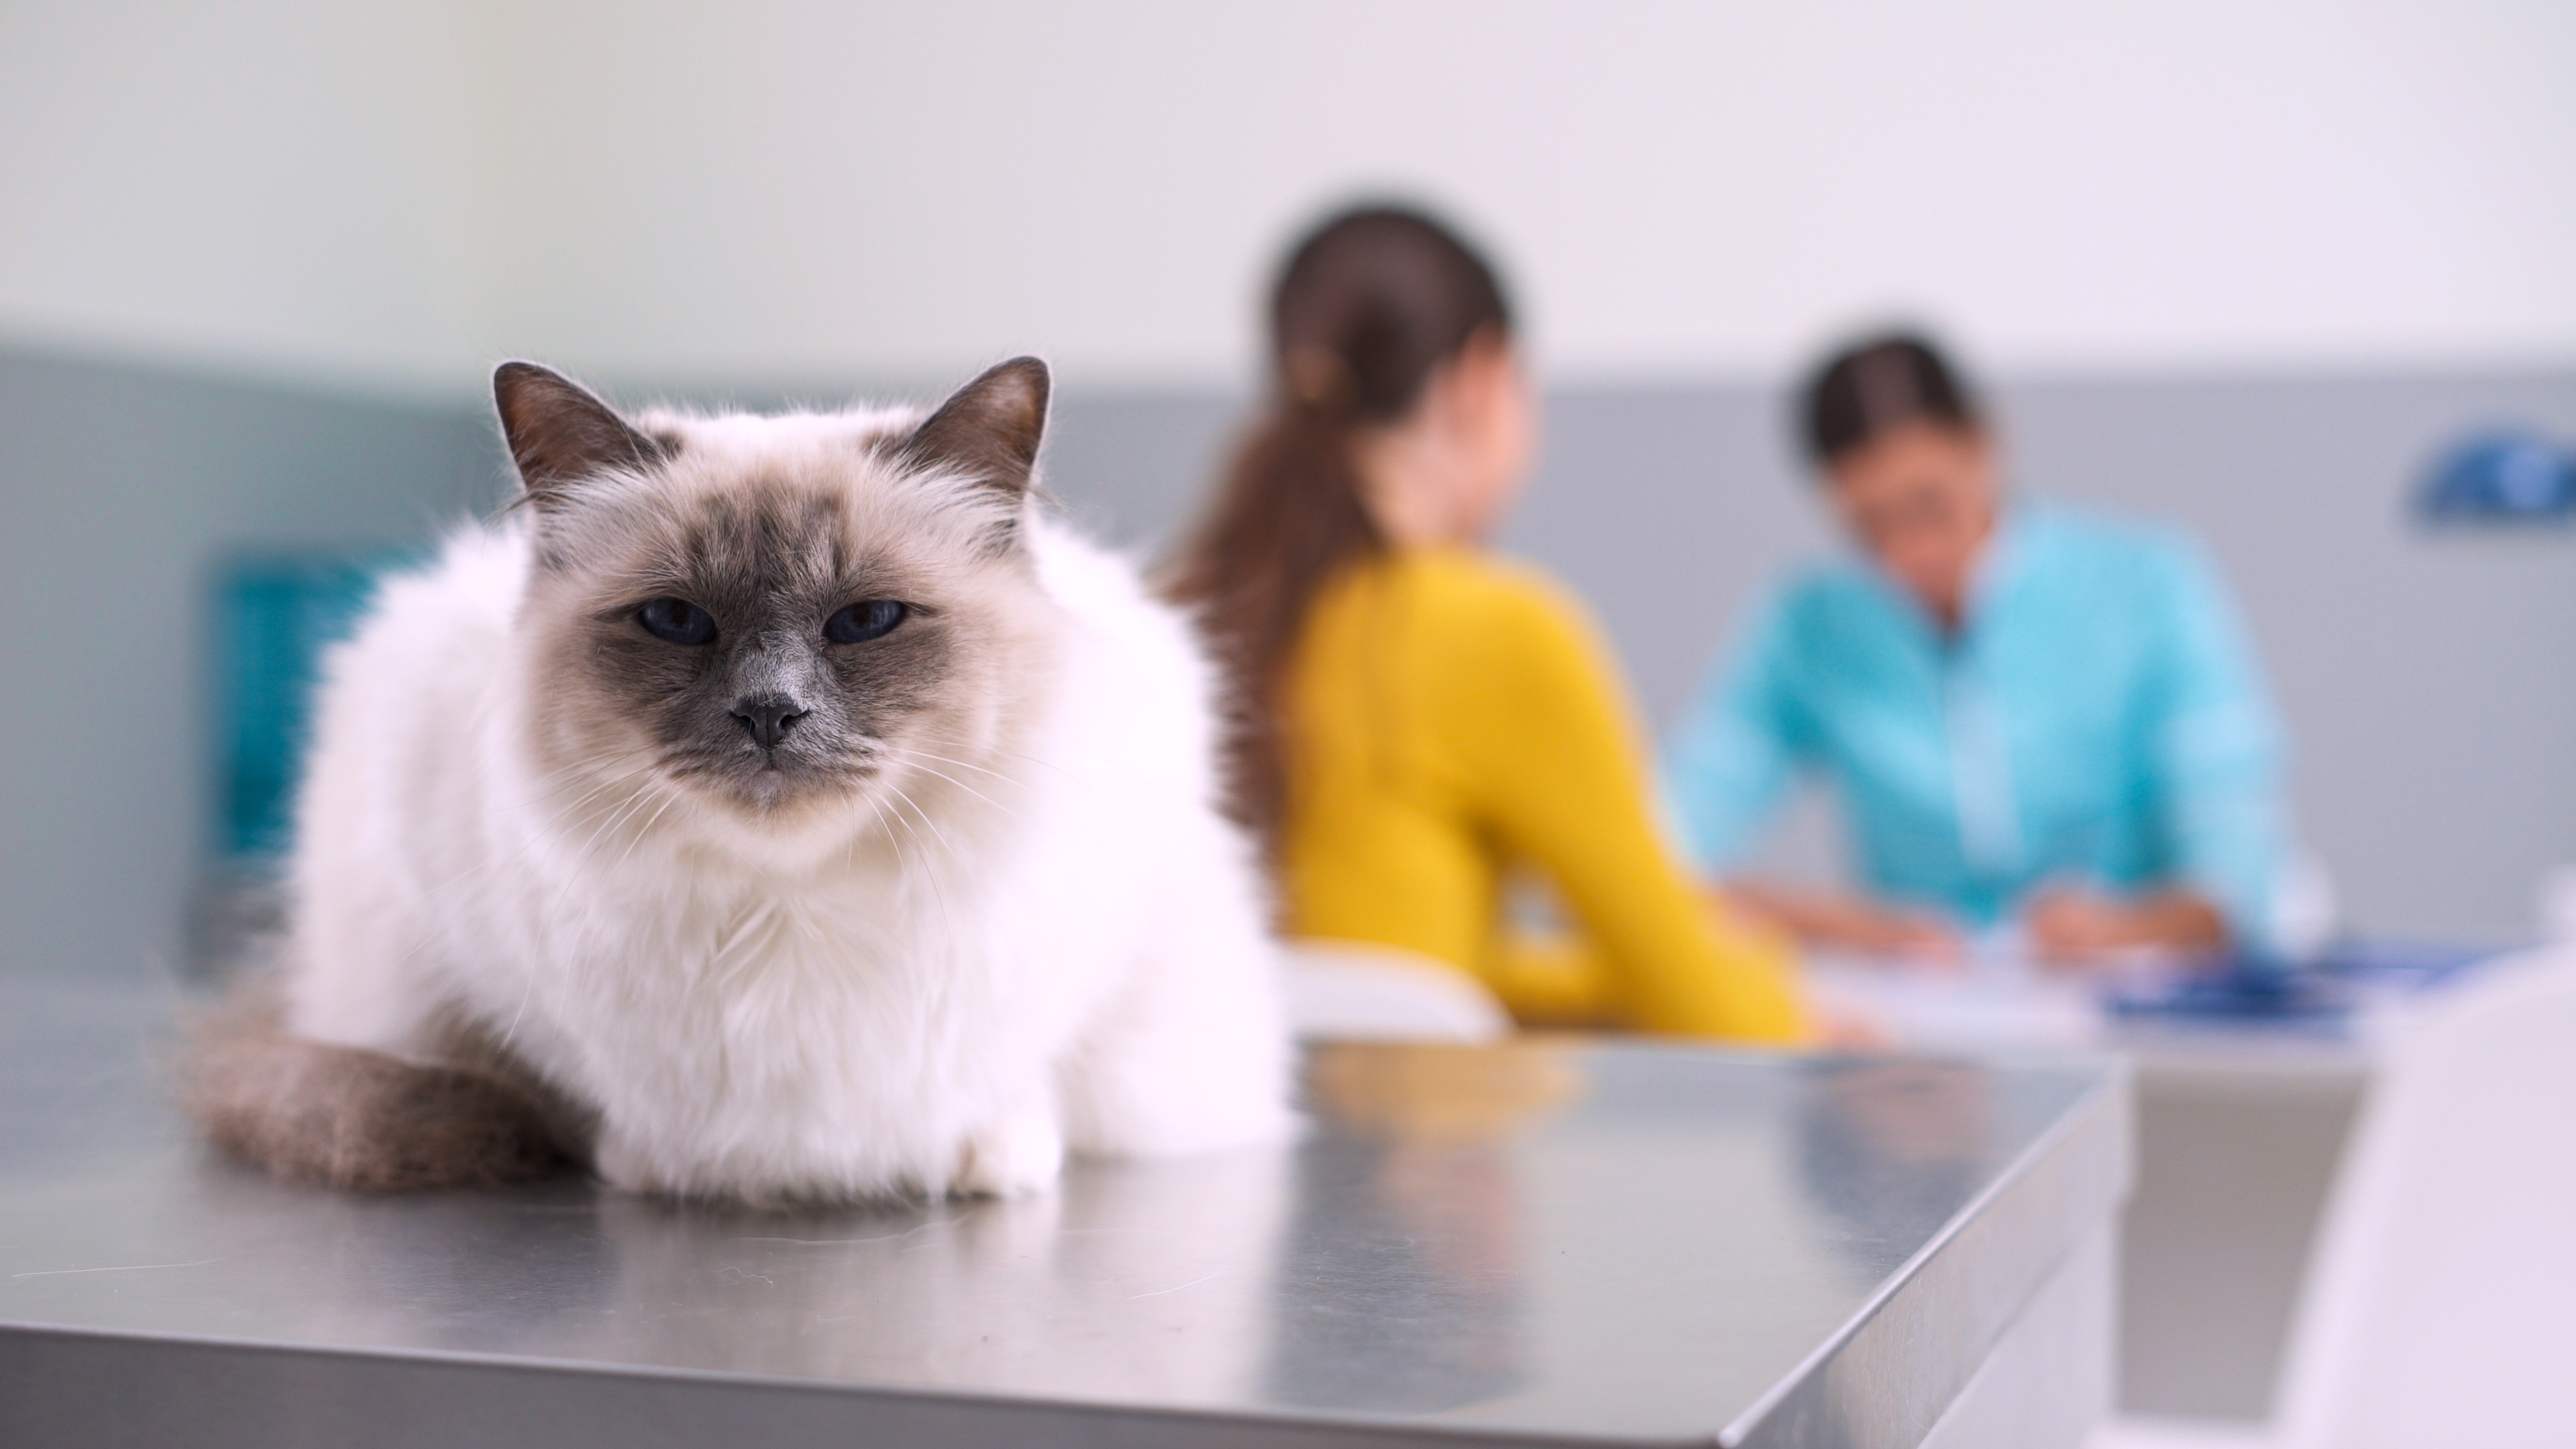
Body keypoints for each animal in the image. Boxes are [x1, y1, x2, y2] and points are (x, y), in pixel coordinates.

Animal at [186, 358, 1288, 1196]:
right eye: (677, 621)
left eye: (865, 621)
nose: (769, 712)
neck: (791, 912)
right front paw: (647, 1164)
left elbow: (1025, 1074)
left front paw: (992, 1161)